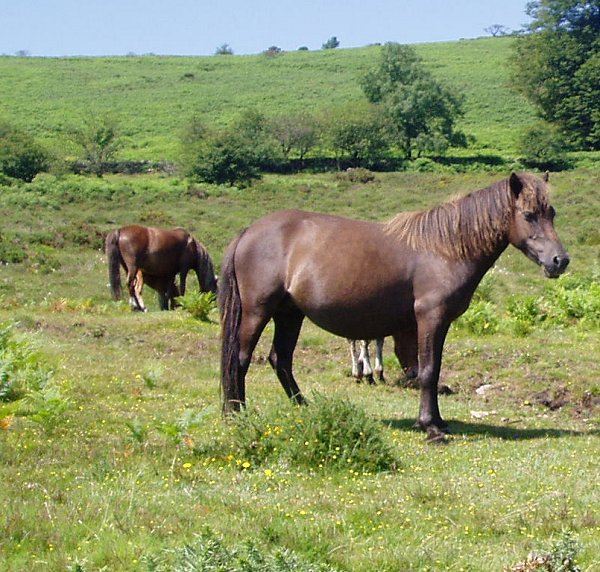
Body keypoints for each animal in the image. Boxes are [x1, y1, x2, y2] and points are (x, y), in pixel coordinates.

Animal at [218, 172, 568, 436]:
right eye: (529, 215)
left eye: (552, 213)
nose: (560, 261)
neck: (444, 248)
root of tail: (249, 231)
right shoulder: (429, 318)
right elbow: (427, 370)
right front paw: (430, 427)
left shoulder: (440, 324)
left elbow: (434, 369)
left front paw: (438, 421)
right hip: (257, 311)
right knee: (240, 359)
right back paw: (237, 414)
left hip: (289, 314)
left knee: (280, 359)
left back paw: (304, 408)